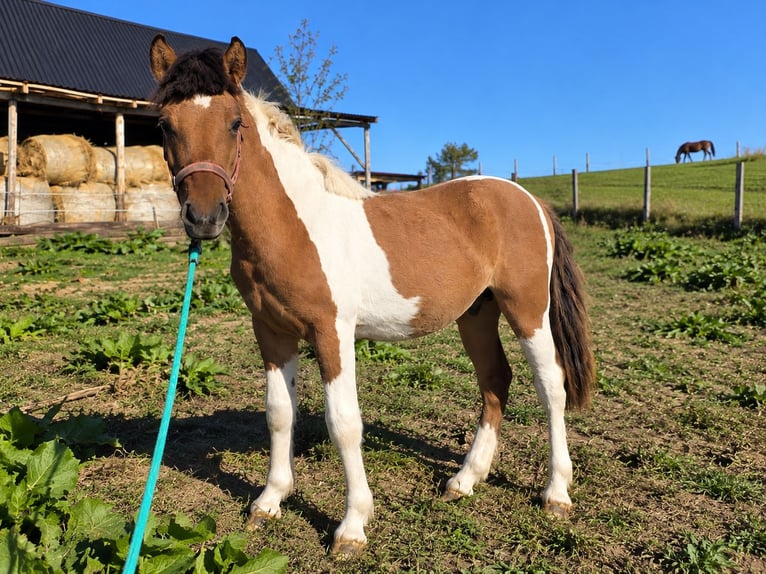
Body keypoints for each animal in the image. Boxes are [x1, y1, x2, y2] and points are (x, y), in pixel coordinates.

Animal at [148, 35, 596, 556]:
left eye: (234, 122)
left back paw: (556, 492)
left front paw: (352, 527)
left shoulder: (332, 332)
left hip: (528, 310)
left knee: (551, 387)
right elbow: (280, 413)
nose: (203, 217)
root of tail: (528, 198)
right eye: (165, 124)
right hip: (476, 314)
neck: (295, 227)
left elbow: (344, 423)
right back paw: (465, 480)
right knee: (495, 380)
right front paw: (269, 501)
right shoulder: (271, 331)